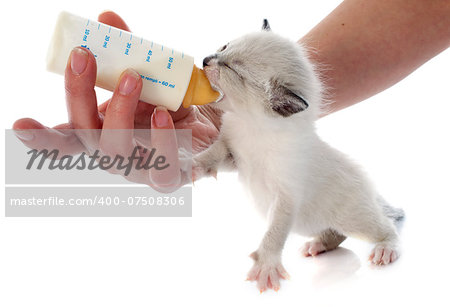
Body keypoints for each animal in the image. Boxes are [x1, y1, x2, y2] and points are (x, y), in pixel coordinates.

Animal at [193, 19, 404, 294]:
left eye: (232, 70)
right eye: (224, 47)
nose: (206, 60)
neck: (252, 126)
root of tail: (371, 193)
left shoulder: (286, 198)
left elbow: (274, 233)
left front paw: (266, 265)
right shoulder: (234, 156)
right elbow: (212, 155)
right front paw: (191, 164)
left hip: (354, 218)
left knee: (385, 227)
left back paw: (386, 249)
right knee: (336, 234)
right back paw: (318, 245)